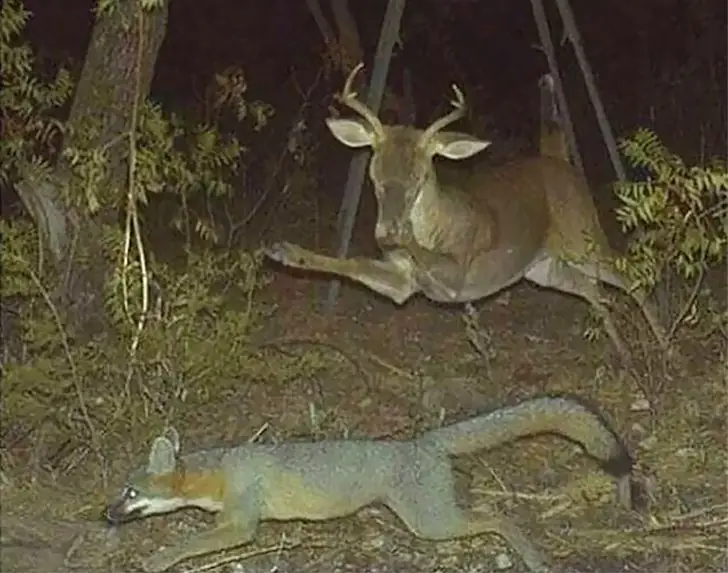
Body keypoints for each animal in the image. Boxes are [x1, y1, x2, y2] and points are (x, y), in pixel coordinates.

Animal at [265, 64, 669, 363]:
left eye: (420, 177)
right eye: (374, 175)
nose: (387, 230)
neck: (436, 223)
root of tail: (557, 160)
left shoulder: (459, 271)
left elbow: (431, 258)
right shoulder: (403, 284)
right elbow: (352, 264)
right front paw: (285, 251)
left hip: (582, 235)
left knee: (628, 278)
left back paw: (667, 348)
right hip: (542, 267)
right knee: (591, 289)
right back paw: (624, 355)